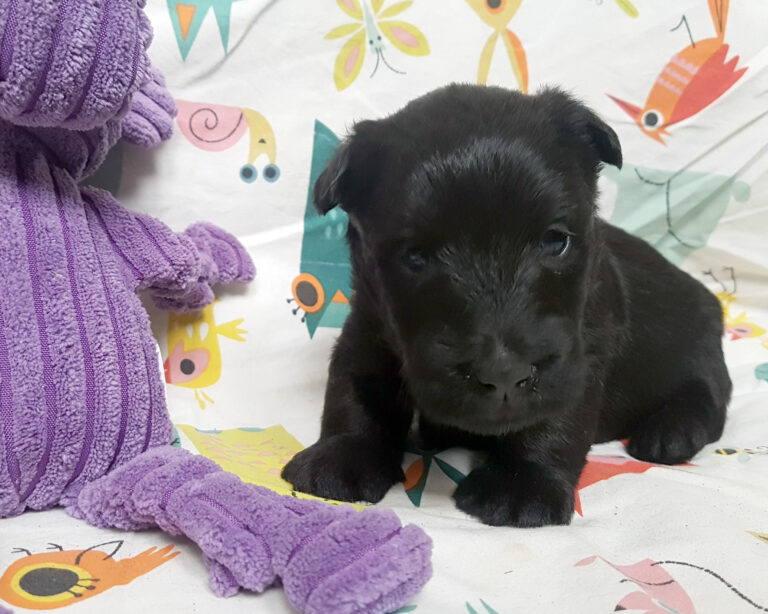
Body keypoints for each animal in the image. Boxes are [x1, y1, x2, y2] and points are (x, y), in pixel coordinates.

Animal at [284, 85, 732, 528]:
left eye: (556, 241)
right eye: (415, 257)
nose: (503, 374)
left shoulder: (580, 352)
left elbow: (553, 417)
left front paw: (522, 484)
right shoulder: (368, 327)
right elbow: (354, 390)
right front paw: (342, 455)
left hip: (699, 348)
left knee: (709, 395)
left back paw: (671, 433)